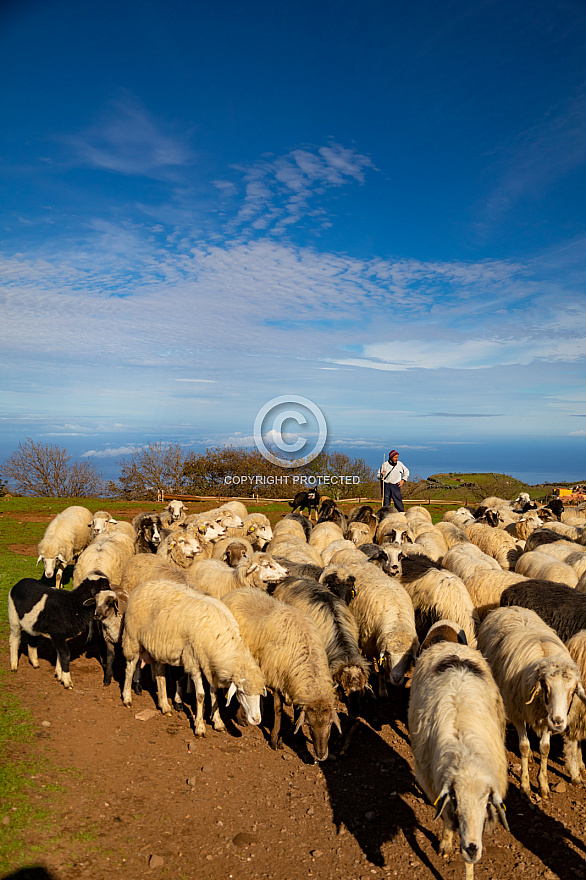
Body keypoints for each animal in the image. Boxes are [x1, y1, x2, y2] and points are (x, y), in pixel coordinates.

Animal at [122, 576, 264, 736]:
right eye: (242, 692)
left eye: (260, 695)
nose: (256, 720)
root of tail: (144, 584)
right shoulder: (193, 661)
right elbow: (201, 695)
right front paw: (199, 727)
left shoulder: (210, 667)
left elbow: (214, 694)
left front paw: (218, 722)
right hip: (132, 637)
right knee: (130, 667)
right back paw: (127, 698)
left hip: (161, 647)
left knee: (159, 673)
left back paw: (164, 705)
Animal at [406, 636, 506, 876]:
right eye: (456, 799)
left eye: (486, 802)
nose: (471, 849)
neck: (465, 753)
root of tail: (452, 645)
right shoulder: (436, 785)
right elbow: (447, 818)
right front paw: (446, 843)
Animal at [474, 604, 584, 796]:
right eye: (546, 686)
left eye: (573, 691)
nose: (558, 721)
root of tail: (510, 607)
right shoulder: (518, 713)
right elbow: (524, 747)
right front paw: (525, 786)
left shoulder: (545, 718)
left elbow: (545, 749)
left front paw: (543, 785)